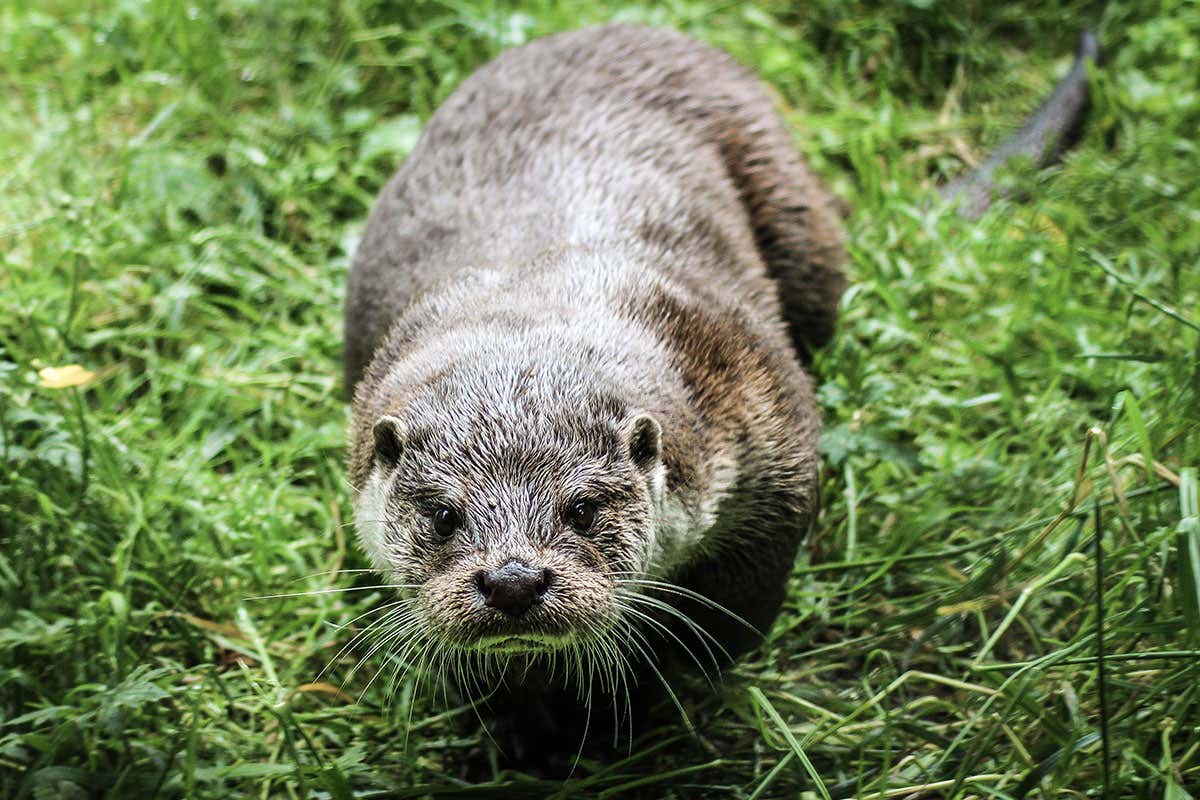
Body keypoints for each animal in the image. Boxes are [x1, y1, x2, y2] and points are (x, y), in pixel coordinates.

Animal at [343, 24, 1097, 770]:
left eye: (582, 510)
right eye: (443, 515)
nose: (513, 580)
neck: (542, 290)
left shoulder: (762, 423)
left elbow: (721, 625)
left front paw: (628, 703)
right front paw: (521, 724)